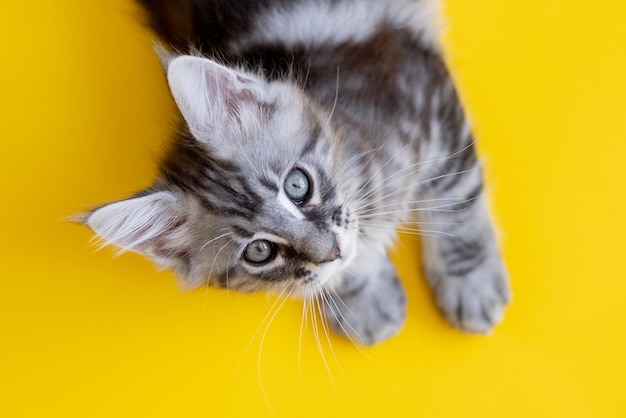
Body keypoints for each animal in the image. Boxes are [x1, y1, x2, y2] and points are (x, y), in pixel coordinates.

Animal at [80, 0, 510, 344]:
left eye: (297, 184)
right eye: (259, 251)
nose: (331, 250)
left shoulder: (425, 90)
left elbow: (456, 201)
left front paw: (471, 282)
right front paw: (363, 298)